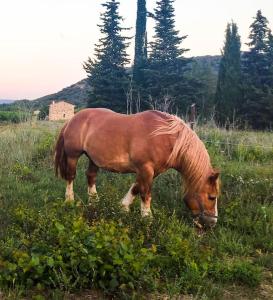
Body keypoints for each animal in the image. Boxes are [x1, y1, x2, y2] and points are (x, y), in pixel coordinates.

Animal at [54, 109, 220, 229]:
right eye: (212, 197)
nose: (212, 223)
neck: (166, 137)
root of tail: (72, 119)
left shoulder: (150, 171)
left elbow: (136, 188)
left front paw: (123, 208)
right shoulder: (146, 169)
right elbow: (145, 193)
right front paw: (147, 219)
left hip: (94, 158)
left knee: (90, 176)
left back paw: (94, 202)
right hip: (73, 156)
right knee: (70, 176)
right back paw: (69, 200)